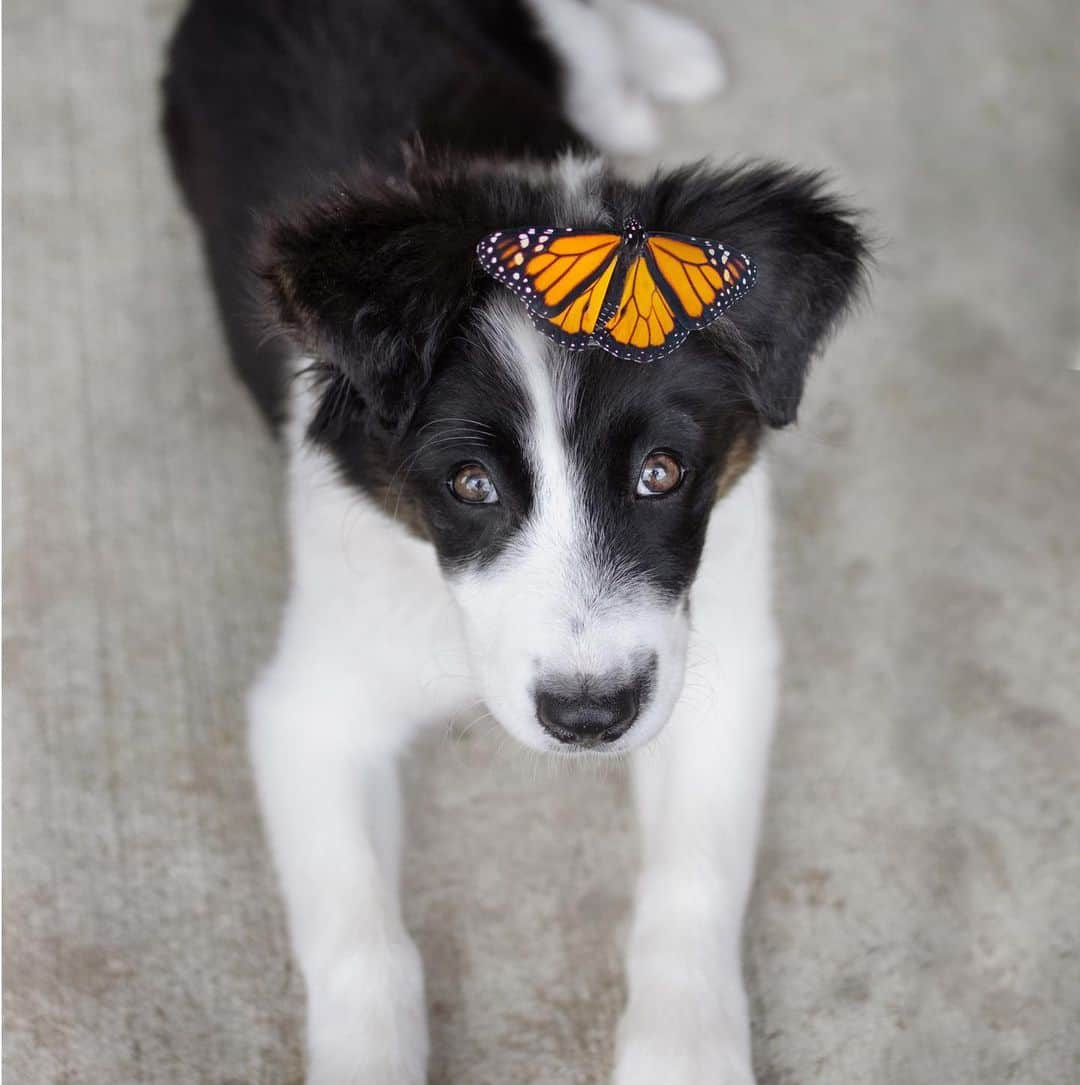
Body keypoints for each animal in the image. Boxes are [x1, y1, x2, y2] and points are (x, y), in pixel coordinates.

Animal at [162, 4, 868, 1080]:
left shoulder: (722, 662)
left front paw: (683, 1051)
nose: (590, 718)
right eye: (471, 483)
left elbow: (691, 883)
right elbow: (365, 945)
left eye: (662, 470)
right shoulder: (309, 708)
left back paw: (658, 68)